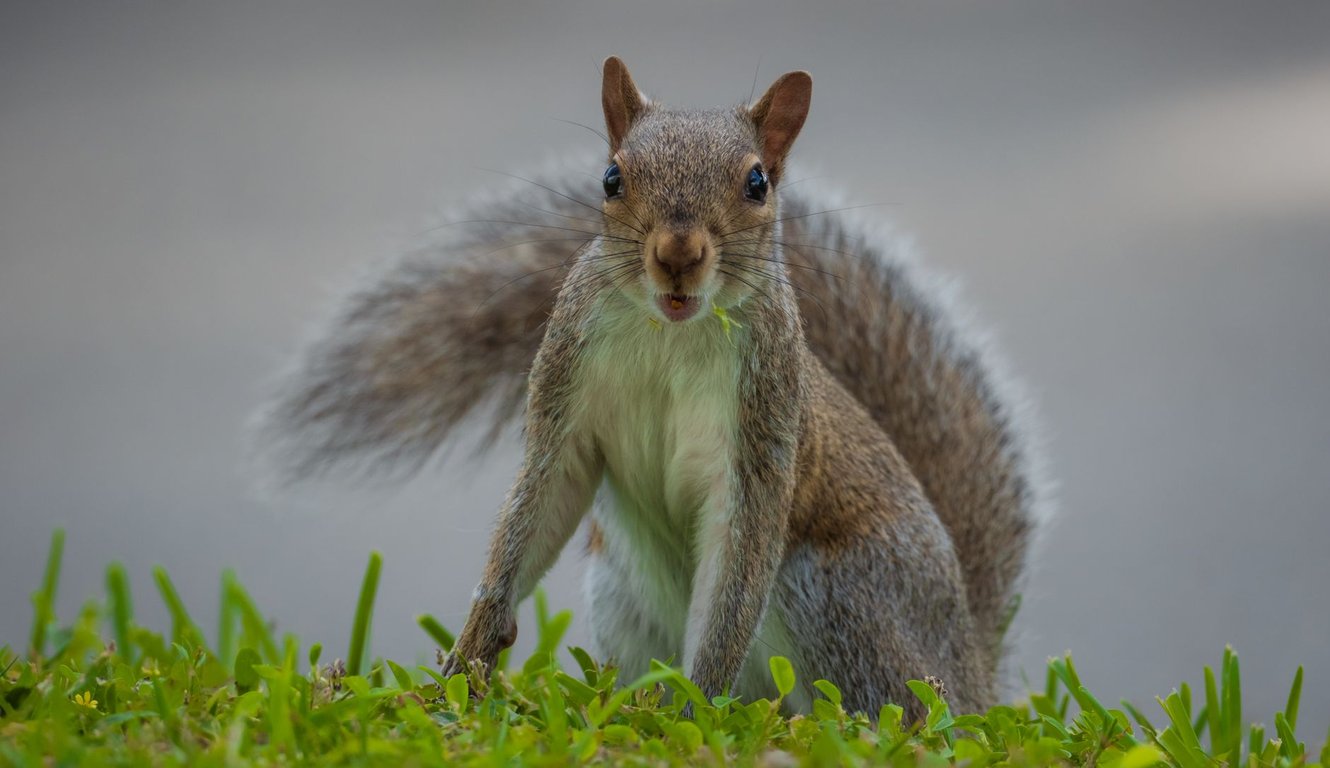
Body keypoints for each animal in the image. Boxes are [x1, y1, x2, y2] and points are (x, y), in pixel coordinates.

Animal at [258, 57, 1046, 718]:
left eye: (757, 183)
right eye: (611, 177)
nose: (677, 253)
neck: (671, 334)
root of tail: (971, 667)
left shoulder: (762, 432)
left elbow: (729, 588)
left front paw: (692, 713)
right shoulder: (566, 399)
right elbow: (534, 515)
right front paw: (464, 665)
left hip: (838, 596)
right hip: (621, 594)